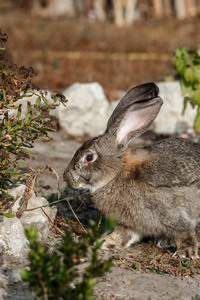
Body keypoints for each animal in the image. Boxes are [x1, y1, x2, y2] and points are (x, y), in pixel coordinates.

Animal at [63, 82, 200, 260]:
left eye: (89, 157)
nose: (66, 178)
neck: (116, 175)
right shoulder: (132, 223)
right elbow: (124, 234)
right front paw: (105, 242)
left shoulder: (171, 213)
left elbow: (184, 231)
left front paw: (185, 252)